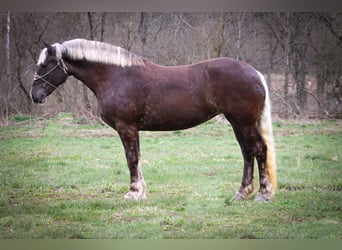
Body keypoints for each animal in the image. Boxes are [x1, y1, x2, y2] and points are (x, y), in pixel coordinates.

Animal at [31, 39, 278, 203]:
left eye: (45, 65)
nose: (35, 95)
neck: (116, 76)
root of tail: (254, 73)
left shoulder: (126, 127)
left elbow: (131, 158)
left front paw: (132, 192)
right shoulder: (132, 129)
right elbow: (137, 158)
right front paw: (141, 192)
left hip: (243, 123)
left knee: (258, 150)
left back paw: (262, 194)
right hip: (239, 124)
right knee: (247, 153)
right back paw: (242, 193)